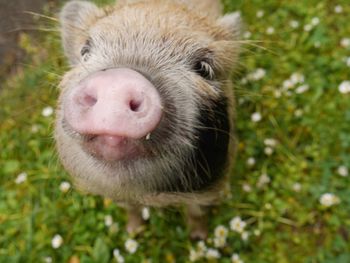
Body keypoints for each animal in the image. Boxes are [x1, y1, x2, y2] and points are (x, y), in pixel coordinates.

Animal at [55, 0, 241, 239]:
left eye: (204, 68)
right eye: (85, 52)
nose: (117, 79)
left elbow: (197, 211)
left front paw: (199, 237)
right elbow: (130, 209)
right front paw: (133, 233)